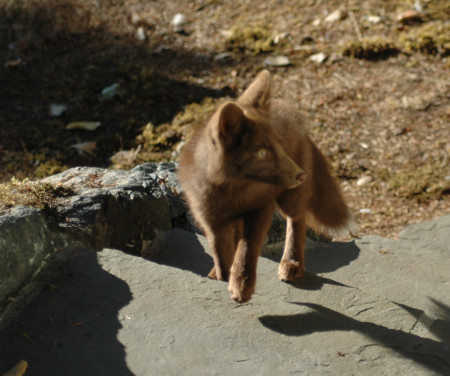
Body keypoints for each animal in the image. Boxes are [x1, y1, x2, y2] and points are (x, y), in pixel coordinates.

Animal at [178, 70, 354, 302]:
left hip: (289, 200)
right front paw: (225, 276)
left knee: (297, 220)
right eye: (262, 153)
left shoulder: (260, 209)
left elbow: (247, 248)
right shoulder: (210, 220)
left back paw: (292, 262)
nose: (301, 175)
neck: (230, 192)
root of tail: (289, 107)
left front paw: (241, 285)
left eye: (279, 144)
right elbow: (221, 254)